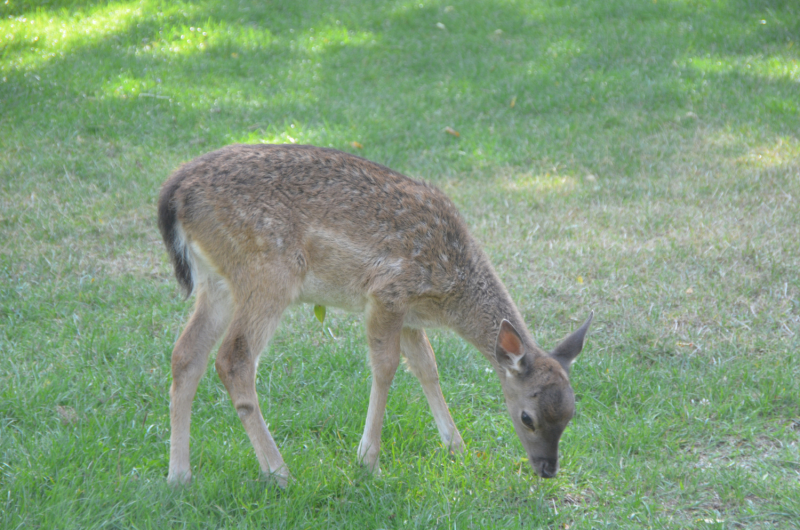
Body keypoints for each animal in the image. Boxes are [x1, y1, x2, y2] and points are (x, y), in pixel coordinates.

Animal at [158, 142, 592, 484]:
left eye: (571, 413)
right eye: (527, 417)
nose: (547, 469)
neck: (450, 295)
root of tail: (174, 191)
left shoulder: (411, 316)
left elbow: (427, 366)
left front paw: (457, 447)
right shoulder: (388, 292)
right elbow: (385, 367)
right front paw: (368, 461)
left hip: (216, 281)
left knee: (185, 354)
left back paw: (179, 475)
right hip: (267, 270)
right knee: (233, 358)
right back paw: (279, 472)